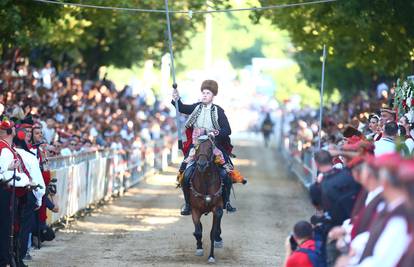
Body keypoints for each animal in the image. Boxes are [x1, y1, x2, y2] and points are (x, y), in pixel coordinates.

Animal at [188, 136, 225, 264]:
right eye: (196, 147)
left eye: (210, 148)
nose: (202, 164)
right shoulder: (195, 209)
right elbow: (198, 231)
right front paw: (199, 248)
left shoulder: (217, 208)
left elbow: (212, 233)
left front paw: (211, 256)